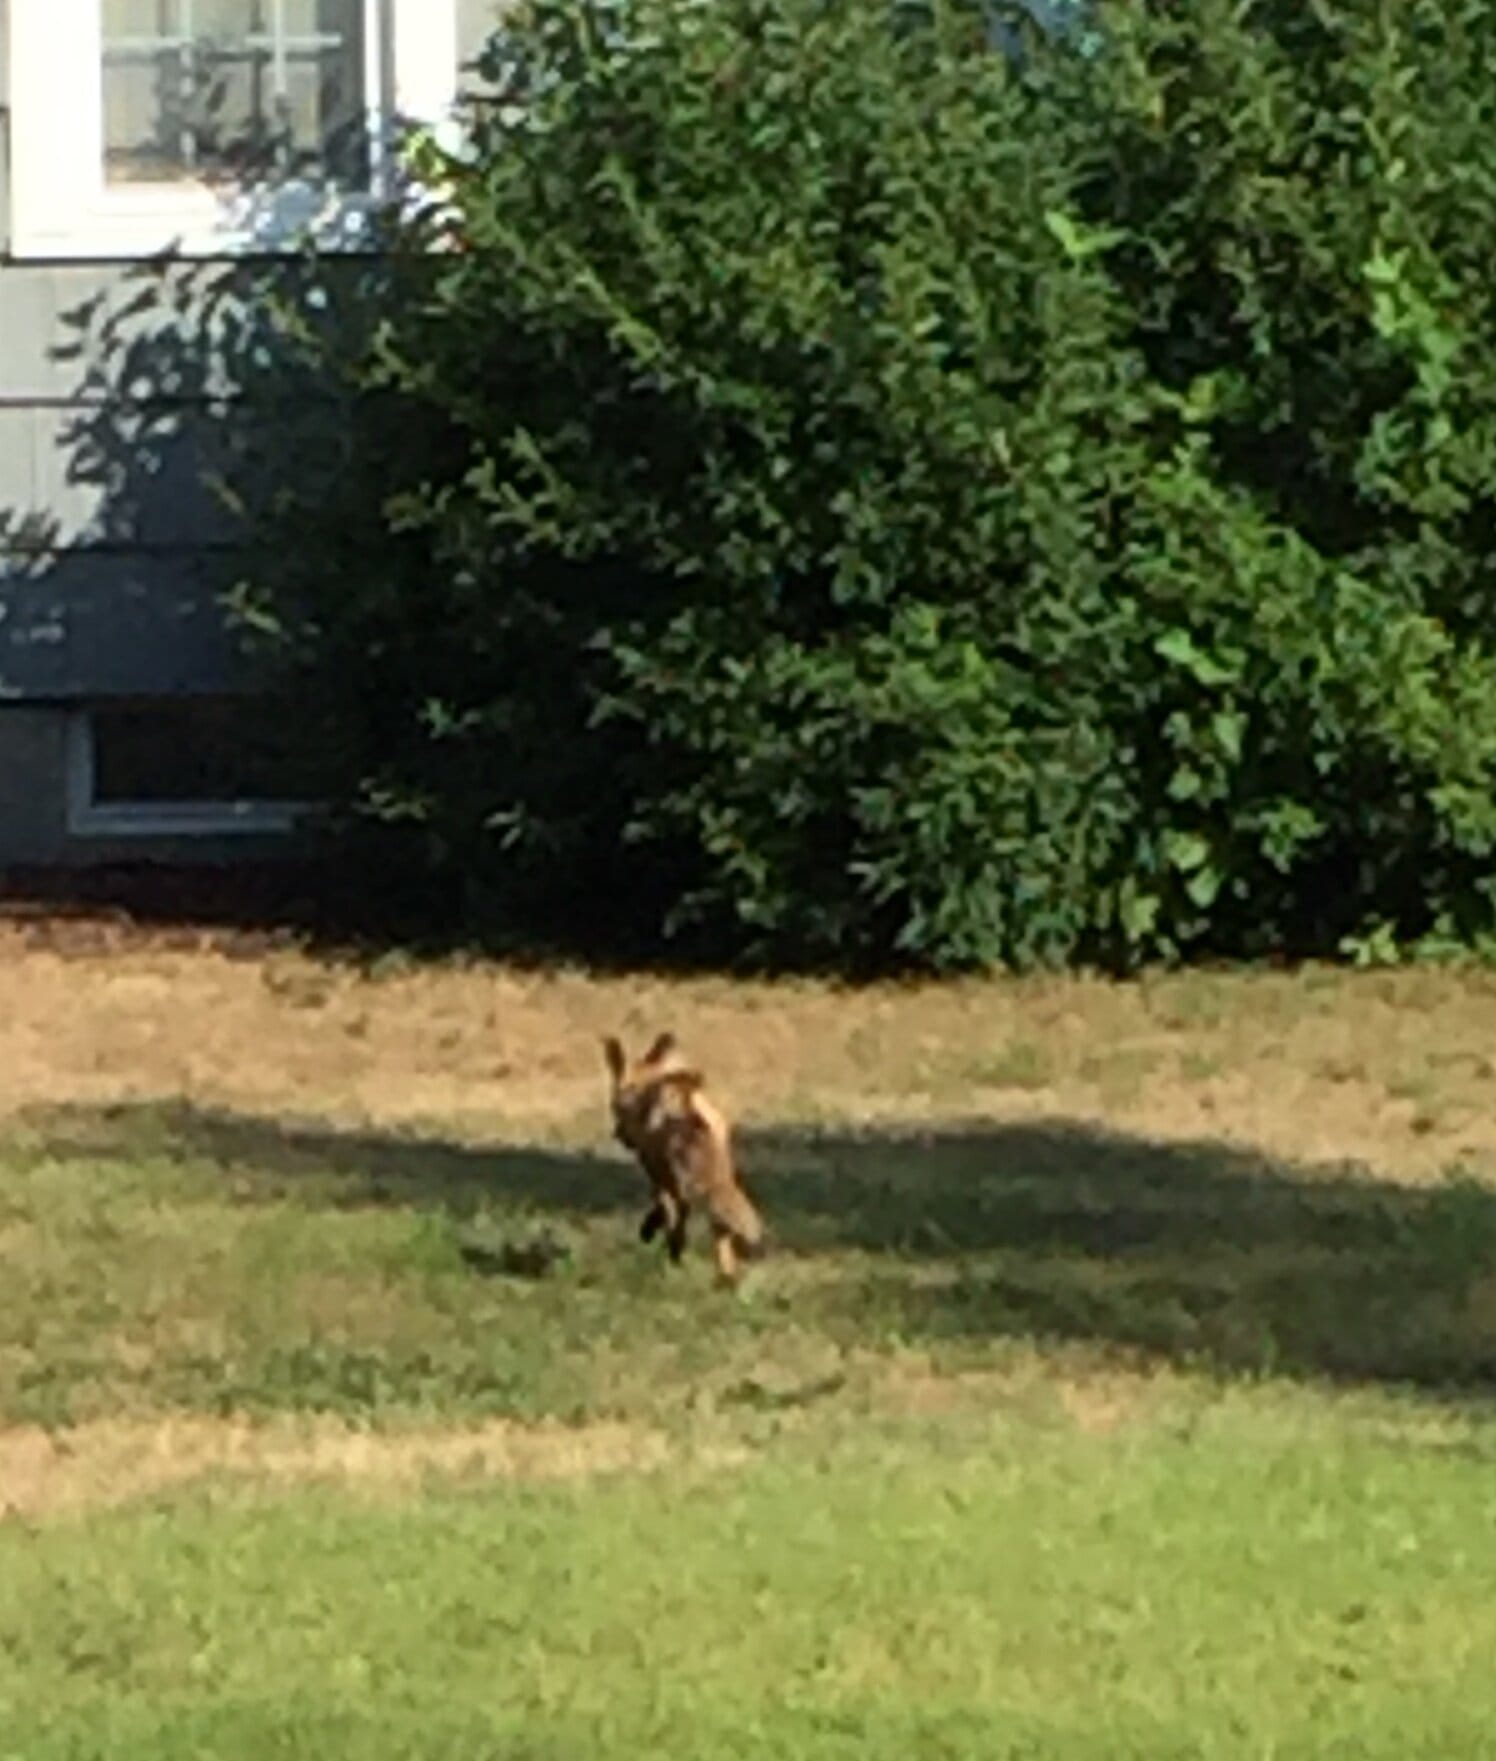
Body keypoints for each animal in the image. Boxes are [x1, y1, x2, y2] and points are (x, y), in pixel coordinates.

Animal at [602, 1031, 765, 1286]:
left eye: (616, 1106)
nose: (619, 1135)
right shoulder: (667, 1179)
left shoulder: (658, 1173)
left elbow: (667, 1216)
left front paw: (653, 1237)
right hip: (718, 1180)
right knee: (722, 1233)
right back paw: (726, 1278)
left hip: (696, 1185)